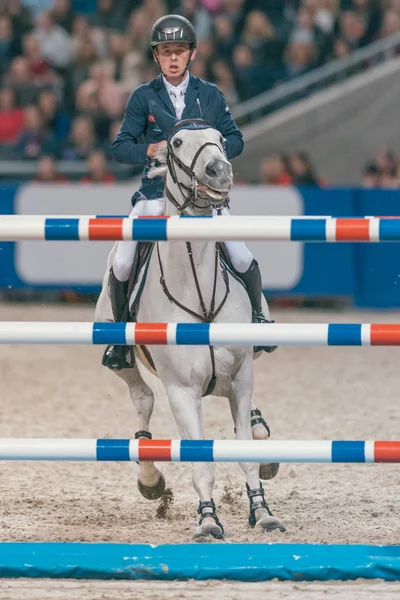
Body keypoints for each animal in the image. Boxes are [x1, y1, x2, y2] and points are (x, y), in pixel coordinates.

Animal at [96, 103, 284, 540]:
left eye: (219, 137)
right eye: (177, 142)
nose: (219, 171)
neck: (199, 290)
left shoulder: (242, 376)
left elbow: (247, 450)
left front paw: (262, 510)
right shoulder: (182, 391)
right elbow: (201, 464)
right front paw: (208, 520)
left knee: (250, 416)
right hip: (124, 362)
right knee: (142, 399)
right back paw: (150, 478)